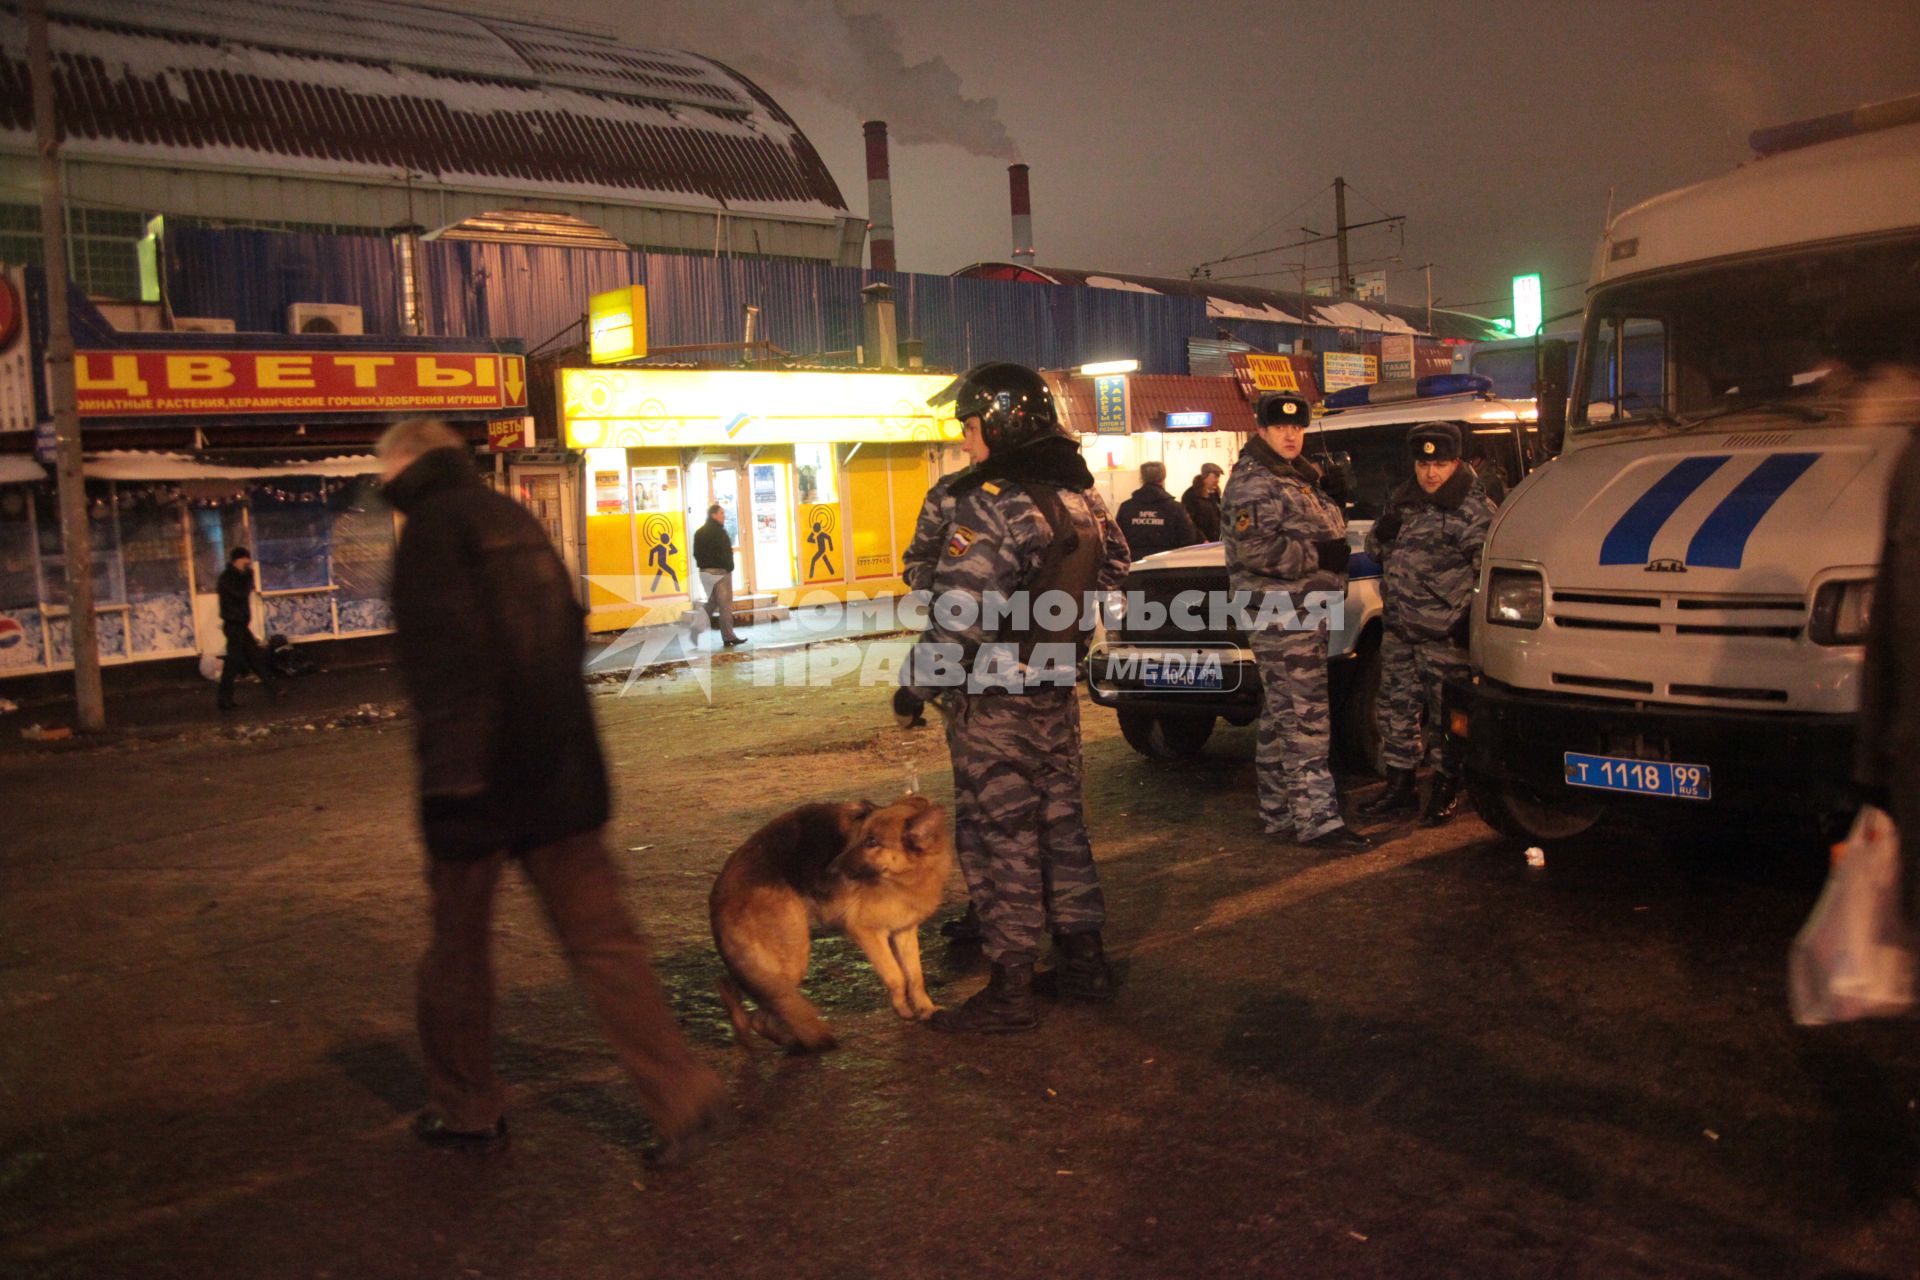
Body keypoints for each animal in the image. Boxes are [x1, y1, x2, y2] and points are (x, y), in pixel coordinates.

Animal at [714, 794, 952, 1059]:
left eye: (872, 842)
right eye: (859, 838)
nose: (831, 869)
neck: (904, 877)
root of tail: (719, 891)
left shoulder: (904, 932)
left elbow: (915, 976)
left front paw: (926, 1009)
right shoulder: (868, 933)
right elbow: (896, 975)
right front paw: (902, 1007)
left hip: (762, 968)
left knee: (740, 994)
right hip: (792, 958)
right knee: (764, 1013)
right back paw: (804, 1043)